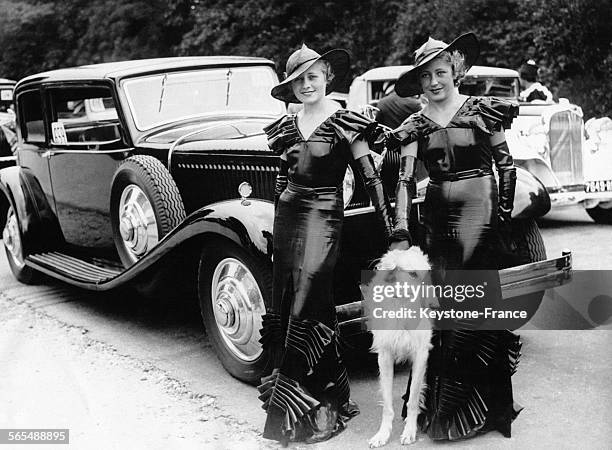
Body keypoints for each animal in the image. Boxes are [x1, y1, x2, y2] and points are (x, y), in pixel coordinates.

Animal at [366, 248, 432, 448]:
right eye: (412, 274)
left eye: (427, 275)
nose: (433, 305)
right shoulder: (384, 357)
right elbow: (387, 404)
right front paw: (382, 434)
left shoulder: (420, 354)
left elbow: (413, 399)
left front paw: (410, 431)